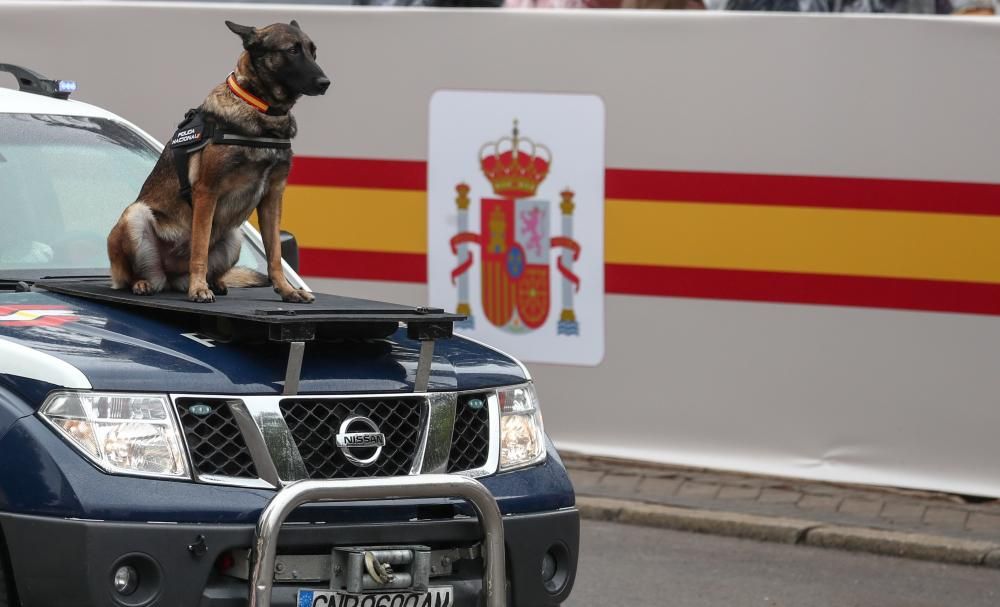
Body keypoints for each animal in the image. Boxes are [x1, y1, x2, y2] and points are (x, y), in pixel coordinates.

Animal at [108, 20, 330, 304]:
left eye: (313, 52)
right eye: (292, 50)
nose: (326, 83)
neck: (261, 110)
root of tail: (168, 276)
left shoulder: (273, 196)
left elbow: (275, 254)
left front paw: (287, 290)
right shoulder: (207, 192)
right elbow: (200, 249)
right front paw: (198, 288)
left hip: (235, 235)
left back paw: (217, 283)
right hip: (134, 215)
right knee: (131, 276)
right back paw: (145, 283)